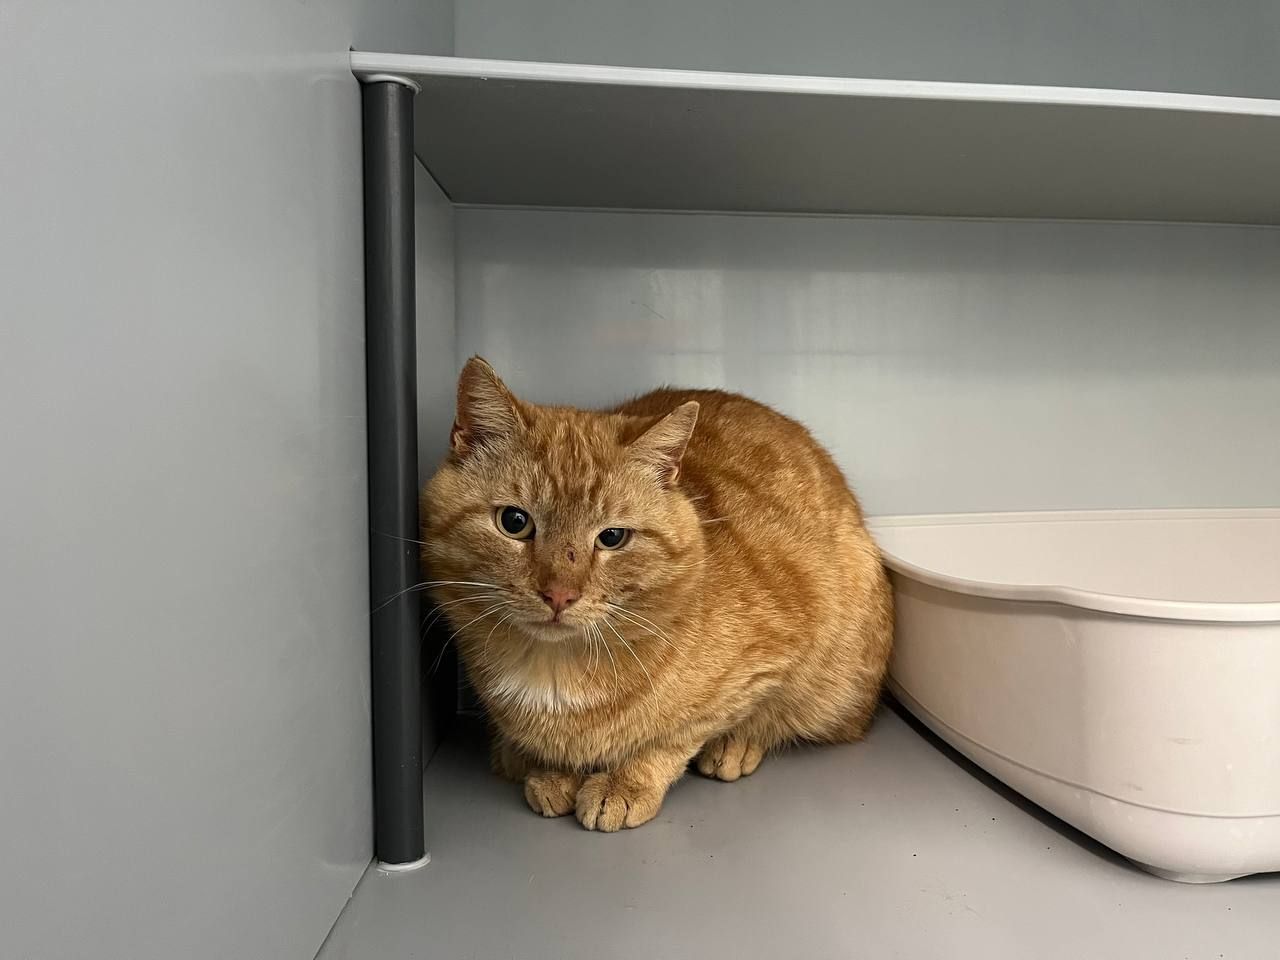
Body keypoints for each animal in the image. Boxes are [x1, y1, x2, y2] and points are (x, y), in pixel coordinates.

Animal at [421, 357, 893, 831]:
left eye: (612, 537)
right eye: (514, 522)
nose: (559, 594)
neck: (551, 670)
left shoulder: (771, 660)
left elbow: (675, 737)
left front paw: (626, 782)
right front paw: (551, 772)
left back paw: (735, 746)